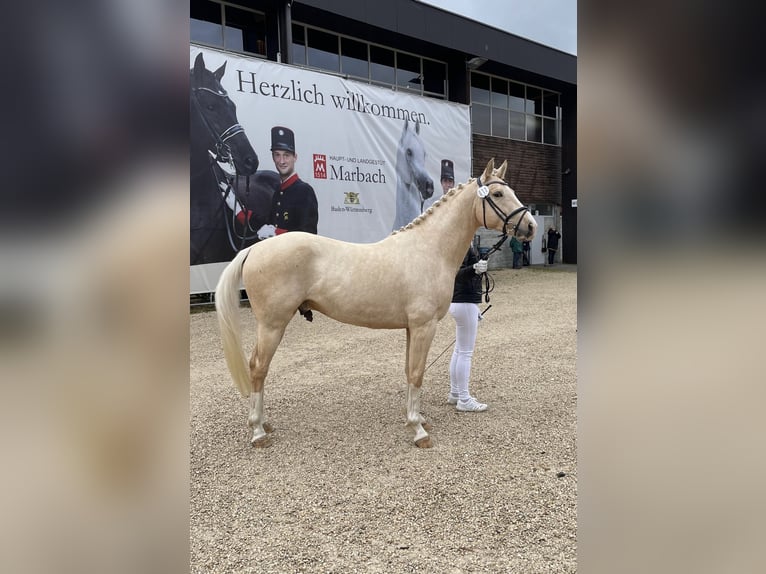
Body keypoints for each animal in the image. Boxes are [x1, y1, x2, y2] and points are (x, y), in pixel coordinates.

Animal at [216, 159, 536, 450]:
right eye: (498, 194)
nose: (530, 227)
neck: (428, 249)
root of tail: (255, 248)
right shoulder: (424, 326)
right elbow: (417, 373)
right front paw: (418, 430)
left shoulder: (411, 328)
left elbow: (410, 371)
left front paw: (417, 418)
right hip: (272, 325)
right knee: (258, 368)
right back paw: (258, 431)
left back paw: (265, 423)